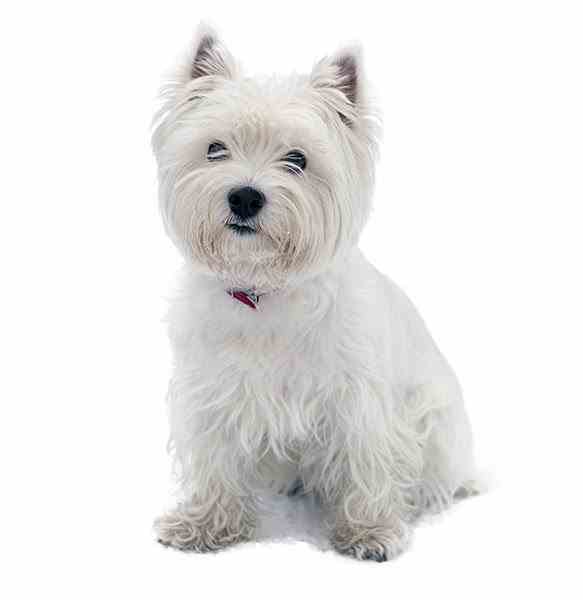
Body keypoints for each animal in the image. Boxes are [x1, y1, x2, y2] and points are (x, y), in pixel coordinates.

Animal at [153, 23, 476, 564]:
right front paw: (203, 525)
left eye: (297, 159)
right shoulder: (213, 394)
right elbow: (217, 463)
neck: (264, 291)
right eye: (215, 149)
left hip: (432, 416)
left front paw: (369, 532)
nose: (245, 196)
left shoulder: (358, 400)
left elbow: (367, 461)